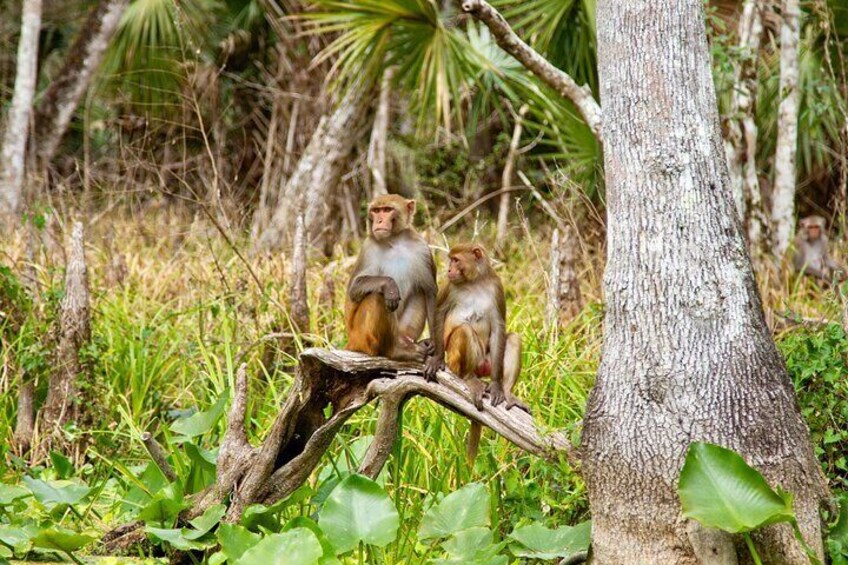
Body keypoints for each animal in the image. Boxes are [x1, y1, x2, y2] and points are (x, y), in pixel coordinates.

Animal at [342, 194, 440, 366]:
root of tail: (352, 340)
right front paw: (390, 285)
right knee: (377, 297)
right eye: (376, 211)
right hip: (362, 338)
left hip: (401, 330)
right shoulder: (368, 247)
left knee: (419, 292)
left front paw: (437, 351)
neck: (395, 241)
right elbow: (354, 289)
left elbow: (429, 292)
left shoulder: (422, 249)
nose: (379, 221)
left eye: (387, 210)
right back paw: (394, 351)